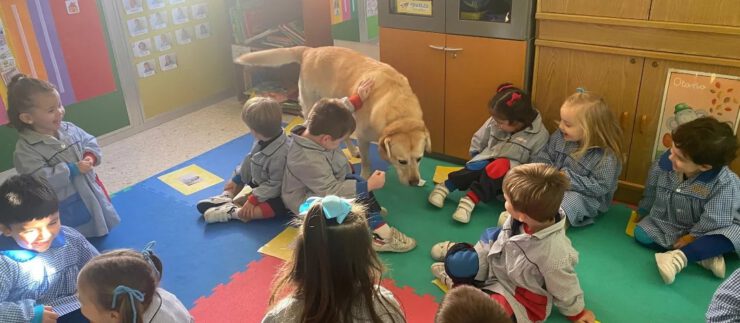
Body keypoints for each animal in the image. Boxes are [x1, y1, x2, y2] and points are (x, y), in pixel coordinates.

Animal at [234, 46, 430, 186]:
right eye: (402, 161)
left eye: (419, 158)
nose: (414, 182)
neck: (399, 113)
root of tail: (309, 50)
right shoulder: (363, 137)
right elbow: (367, 162)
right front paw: (367, 177)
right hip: (312, 104)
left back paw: (351, 150)